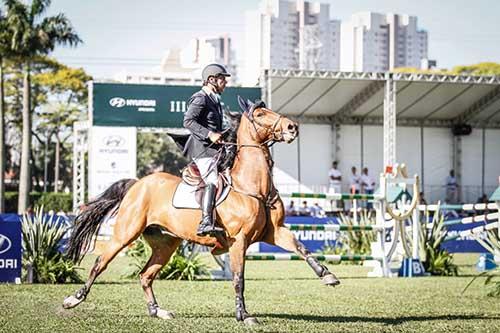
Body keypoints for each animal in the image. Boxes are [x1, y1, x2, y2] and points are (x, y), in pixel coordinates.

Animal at [60, 96, 338, 324]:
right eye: (260, 114)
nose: (293, 127)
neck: (253, 186)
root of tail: (138, 183)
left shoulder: (275, 232)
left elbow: (302, 249)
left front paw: (327, 276)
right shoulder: (239, 241)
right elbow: (239, 279)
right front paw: (244, 316)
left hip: (165, 244)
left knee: (145, 275)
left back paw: (158, 311)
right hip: (125, 233)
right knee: (100, 263)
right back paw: (73, 299)